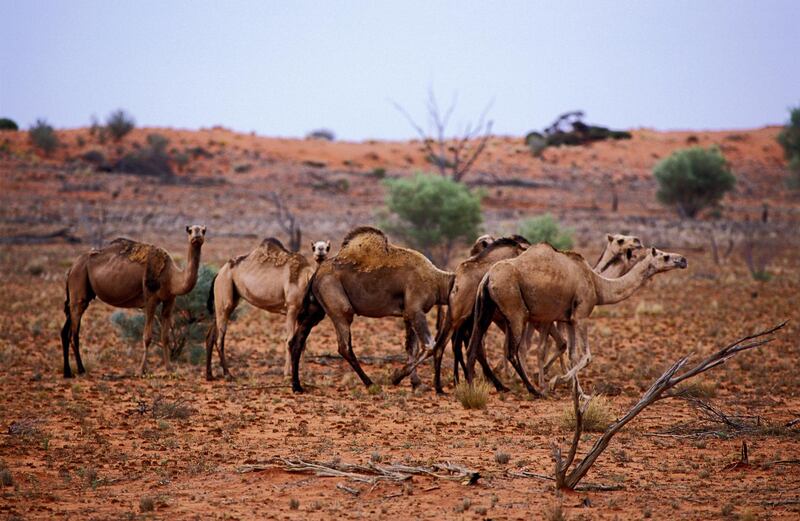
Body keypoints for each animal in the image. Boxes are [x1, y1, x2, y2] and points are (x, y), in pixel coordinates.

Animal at [61, 225, 206, 376]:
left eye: (203, 230)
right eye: (190, 230)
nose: (197, 236)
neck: (172, 277)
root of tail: (71, 268)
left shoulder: (170, 300)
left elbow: (165, 337)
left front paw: (169, 369)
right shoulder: (150, 298)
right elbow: (147, 337)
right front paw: (141, 370)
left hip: (79, 292)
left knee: (65, 331)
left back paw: (67, 372)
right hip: (79, 283)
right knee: (75, 332)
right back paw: (81, 369)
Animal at [208, 238, 332, 380]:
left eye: (327, 247)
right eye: (313, 247)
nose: (320, 251)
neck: (305, 280)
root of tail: (218, 273)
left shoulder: (301, 315)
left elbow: (303, 343)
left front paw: (304, 373)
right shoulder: (292, 308)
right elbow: (290, 340)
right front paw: (287, 374)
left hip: (223, 299)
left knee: (211, 334)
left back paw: (210, 375)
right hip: (224, 292)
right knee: (220, 337)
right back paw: (227, 374)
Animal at [288, 225, 454, 392]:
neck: (438, 281)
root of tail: (316, 274)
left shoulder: (408, 313)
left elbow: (411, 348)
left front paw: (416, 383)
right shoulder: (415, 310)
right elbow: (429, 346)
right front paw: (396, 377)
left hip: (315, 309)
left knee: (296, 341)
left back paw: (297, 386)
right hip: (339, 306)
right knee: (344, 346)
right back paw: (369, 383)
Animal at [466, 244, 684, 394]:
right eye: (665, 256)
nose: (683, 260)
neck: (598, 284)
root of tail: (488, 277)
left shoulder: (568, 319)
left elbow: (572, 356)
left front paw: (575, 390)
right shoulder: (581, 316)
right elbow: (586, 356)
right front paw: (554, 382)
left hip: (486, 310)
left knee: (474, 345)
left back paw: (475, 384)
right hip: (514, 309)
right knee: (512, 351)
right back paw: (533, 390)